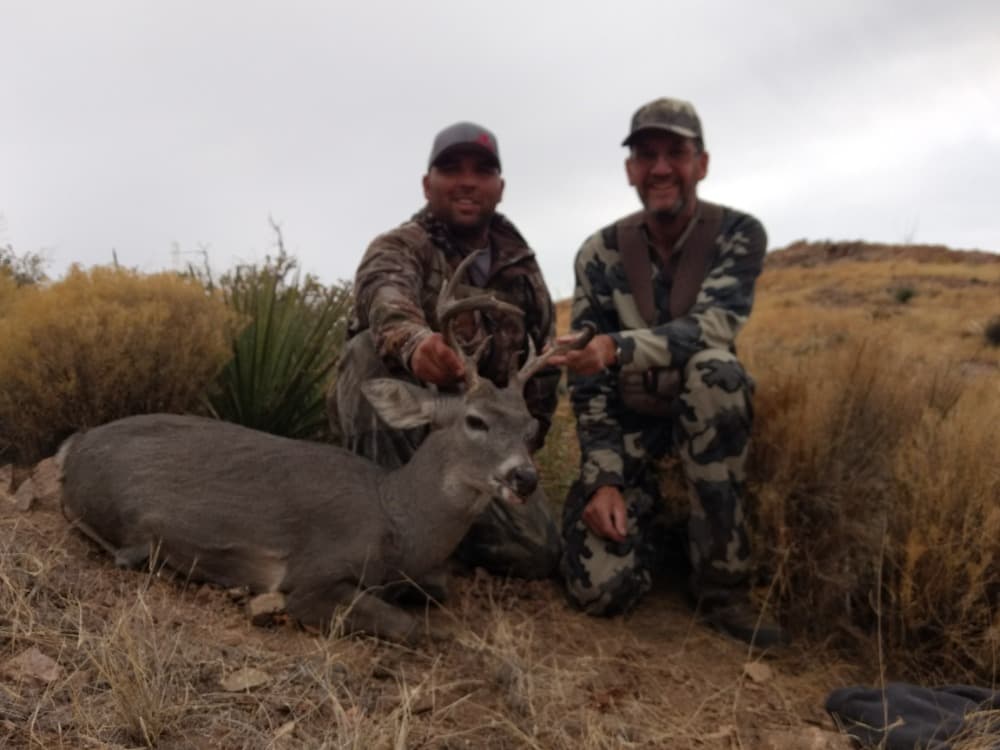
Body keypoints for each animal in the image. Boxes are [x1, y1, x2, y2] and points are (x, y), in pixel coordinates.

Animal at [57, 251, 591, 644]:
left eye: (528, 428)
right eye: (475, 420)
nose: (524, 477)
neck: (397, 519)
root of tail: (76, 448)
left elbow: (437, 589)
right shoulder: (313, 574)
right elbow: (409, 626)